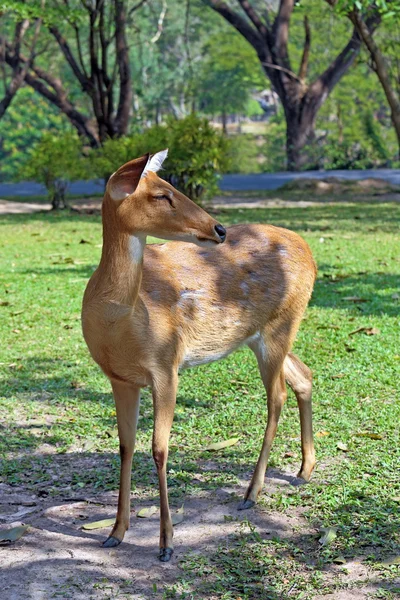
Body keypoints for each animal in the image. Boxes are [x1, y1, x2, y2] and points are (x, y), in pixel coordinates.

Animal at [83, 150, 318, 564]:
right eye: (162, 194)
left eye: (172, 185)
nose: (218, 229)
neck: (119, 321)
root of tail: (310, 253)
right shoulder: (120, 378)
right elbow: (125, 446)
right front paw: (114, 532)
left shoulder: (166, 364)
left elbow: (159, 448)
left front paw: (166, 543)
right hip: (267, 333)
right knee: (303, 376)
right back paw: (304, 470)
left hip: (280, 327)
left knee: (276, 396)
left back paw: (251, 493)